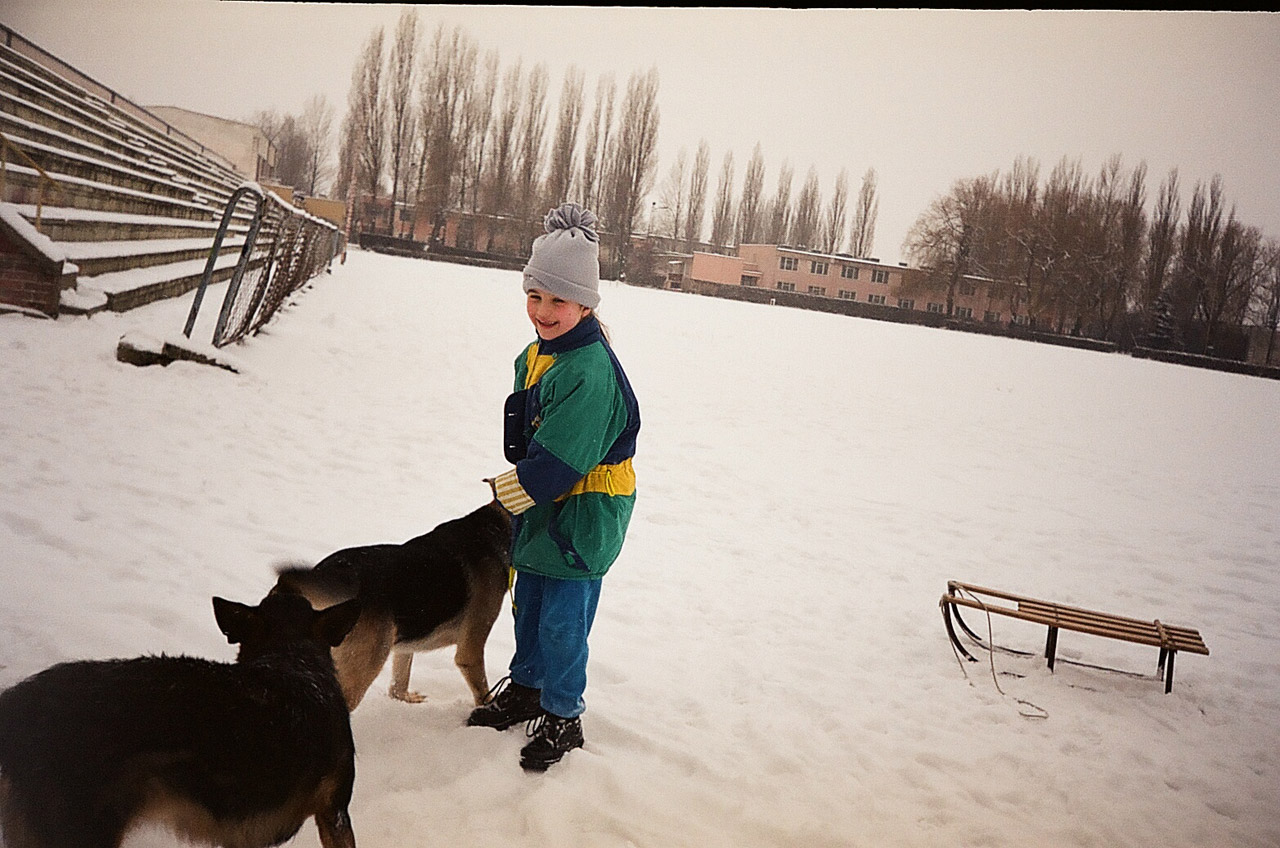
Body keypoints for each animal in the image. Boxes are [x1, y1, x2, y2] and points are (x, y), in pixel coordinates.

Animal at [272, 502, 512, 712]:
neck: (496, 526)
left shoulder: (404, 644)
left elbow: (398, 685)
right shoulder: (471, 650)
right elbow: (483, 693)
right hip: (363, 665)